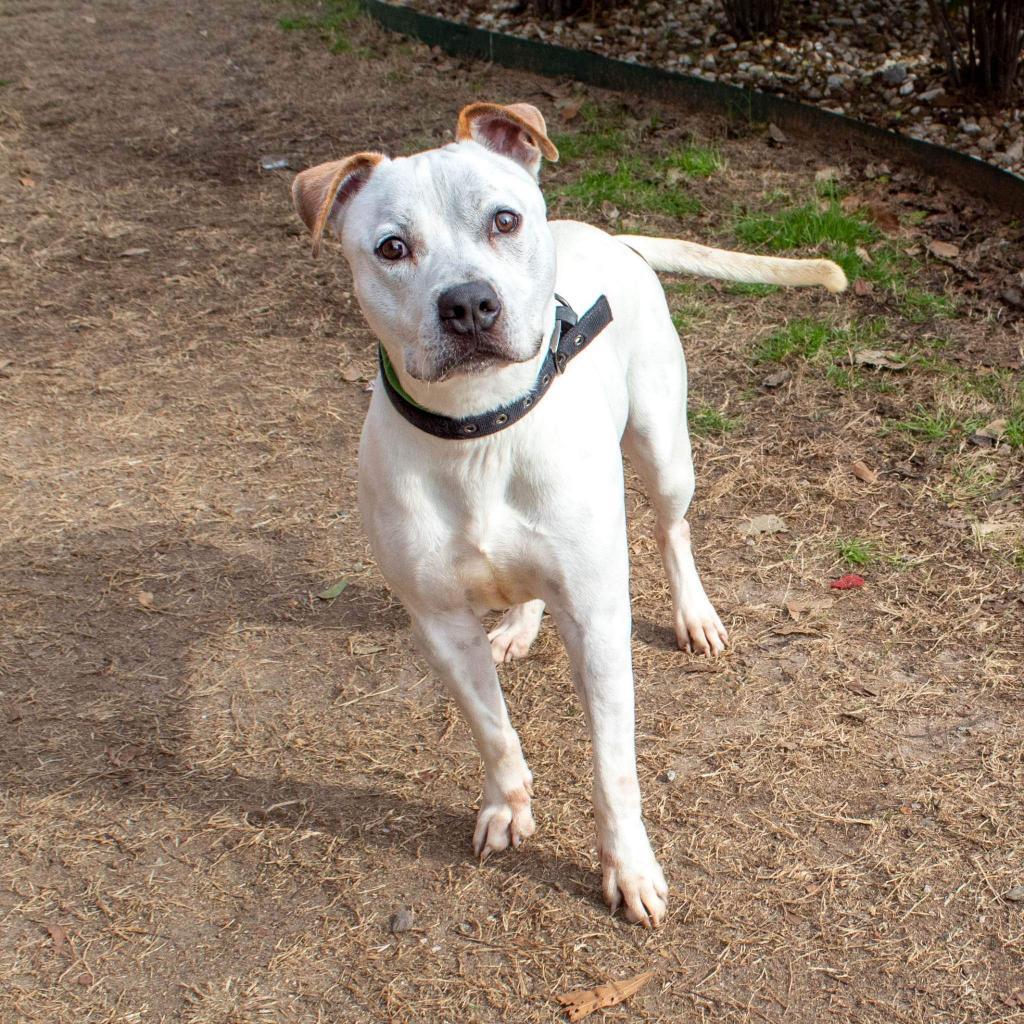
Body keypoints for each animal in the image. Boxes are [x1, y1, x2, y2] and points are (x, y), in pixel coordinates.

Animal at [290, 103, 847, 929]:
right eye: (391, 247)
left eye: (504, 220)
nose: (467, 303)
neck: (481, 429)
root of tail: (608, 235)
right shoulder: (440, 625)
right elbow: (491, 729)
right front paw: (506, 804)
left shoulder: (598, 618)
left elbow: (614, 767)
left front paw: (629, 869)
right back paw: (520, 626)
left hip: (664, 449)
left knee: (672, 529)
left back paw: (694, 616)